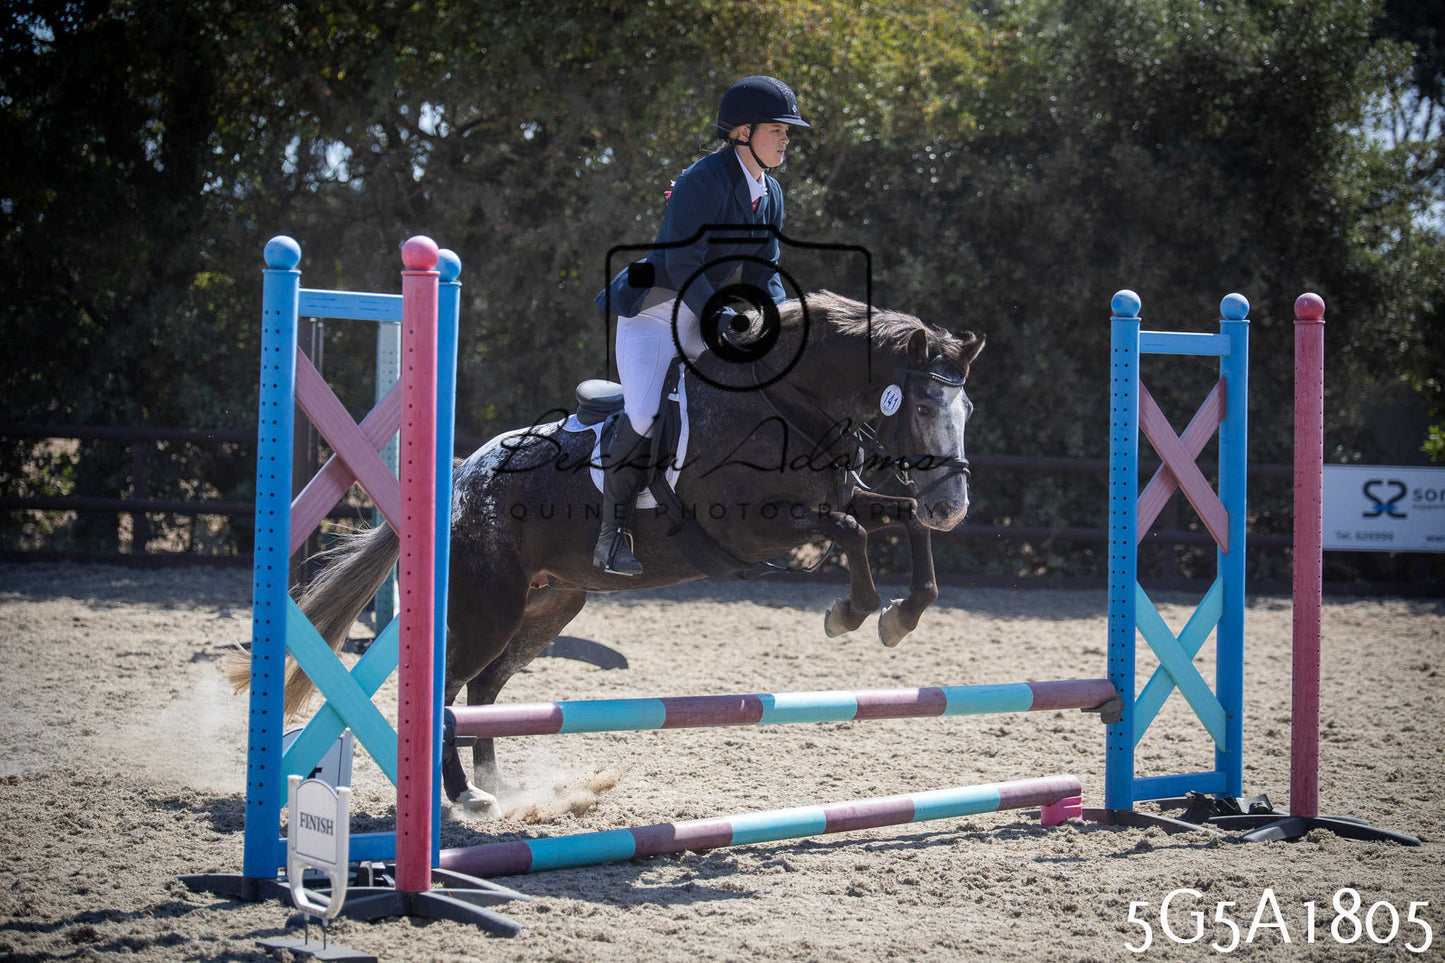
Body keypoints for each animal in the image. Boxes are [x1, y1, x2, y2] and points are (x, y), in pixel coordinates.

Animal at [230, 291, 984, 812]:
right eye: (921, 406)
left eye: (966, 411)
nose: (955, 507)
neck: (788, 403)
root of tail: (461, 479)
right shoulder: (754, 529)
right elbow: (852, 533)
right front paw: (851, 614)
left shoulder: (841, 501)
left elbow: (898, 520)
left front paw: (903, 614)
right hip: (489, 604)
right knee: (448, 684)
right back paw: (464, 795)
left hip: (550, 605)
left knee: (485, 687)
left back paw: (500, 783)